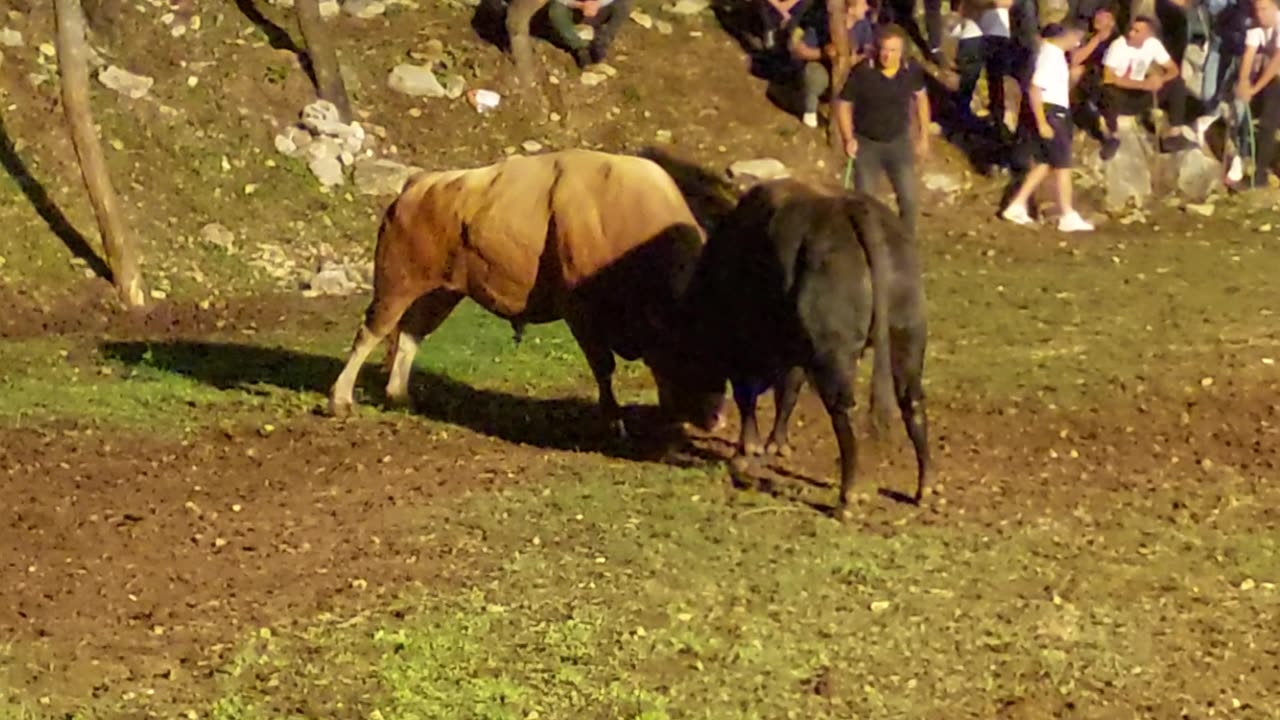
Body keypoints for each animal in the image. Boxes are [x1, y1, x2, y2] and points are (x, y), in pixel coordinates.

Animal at [325, 147, 727, 430]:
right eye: (687, 352)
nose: (715, 419)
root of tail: (416, 187)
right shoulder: (581, 315)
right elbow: (604, 367)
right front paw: (614, 421)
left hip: (440, 294)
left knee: (410, 335)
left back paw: (400, 397)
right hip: (396, 286)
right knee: (370, 333)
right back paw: (340, 402)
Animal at [650, 178, 931, 509]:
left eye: (673, 362)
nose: (674, 412)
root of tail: (853, 210)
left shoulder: (744, 351)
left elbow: (749, 398)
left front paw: (749, 448)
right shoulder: (793, 354)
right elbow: (787, 395)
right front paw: (777, 444)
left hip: (833, 356)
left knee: (844, 412)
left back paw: (847, 497)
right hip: (907, 338)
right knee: (911, 401)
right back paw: (925, 488)